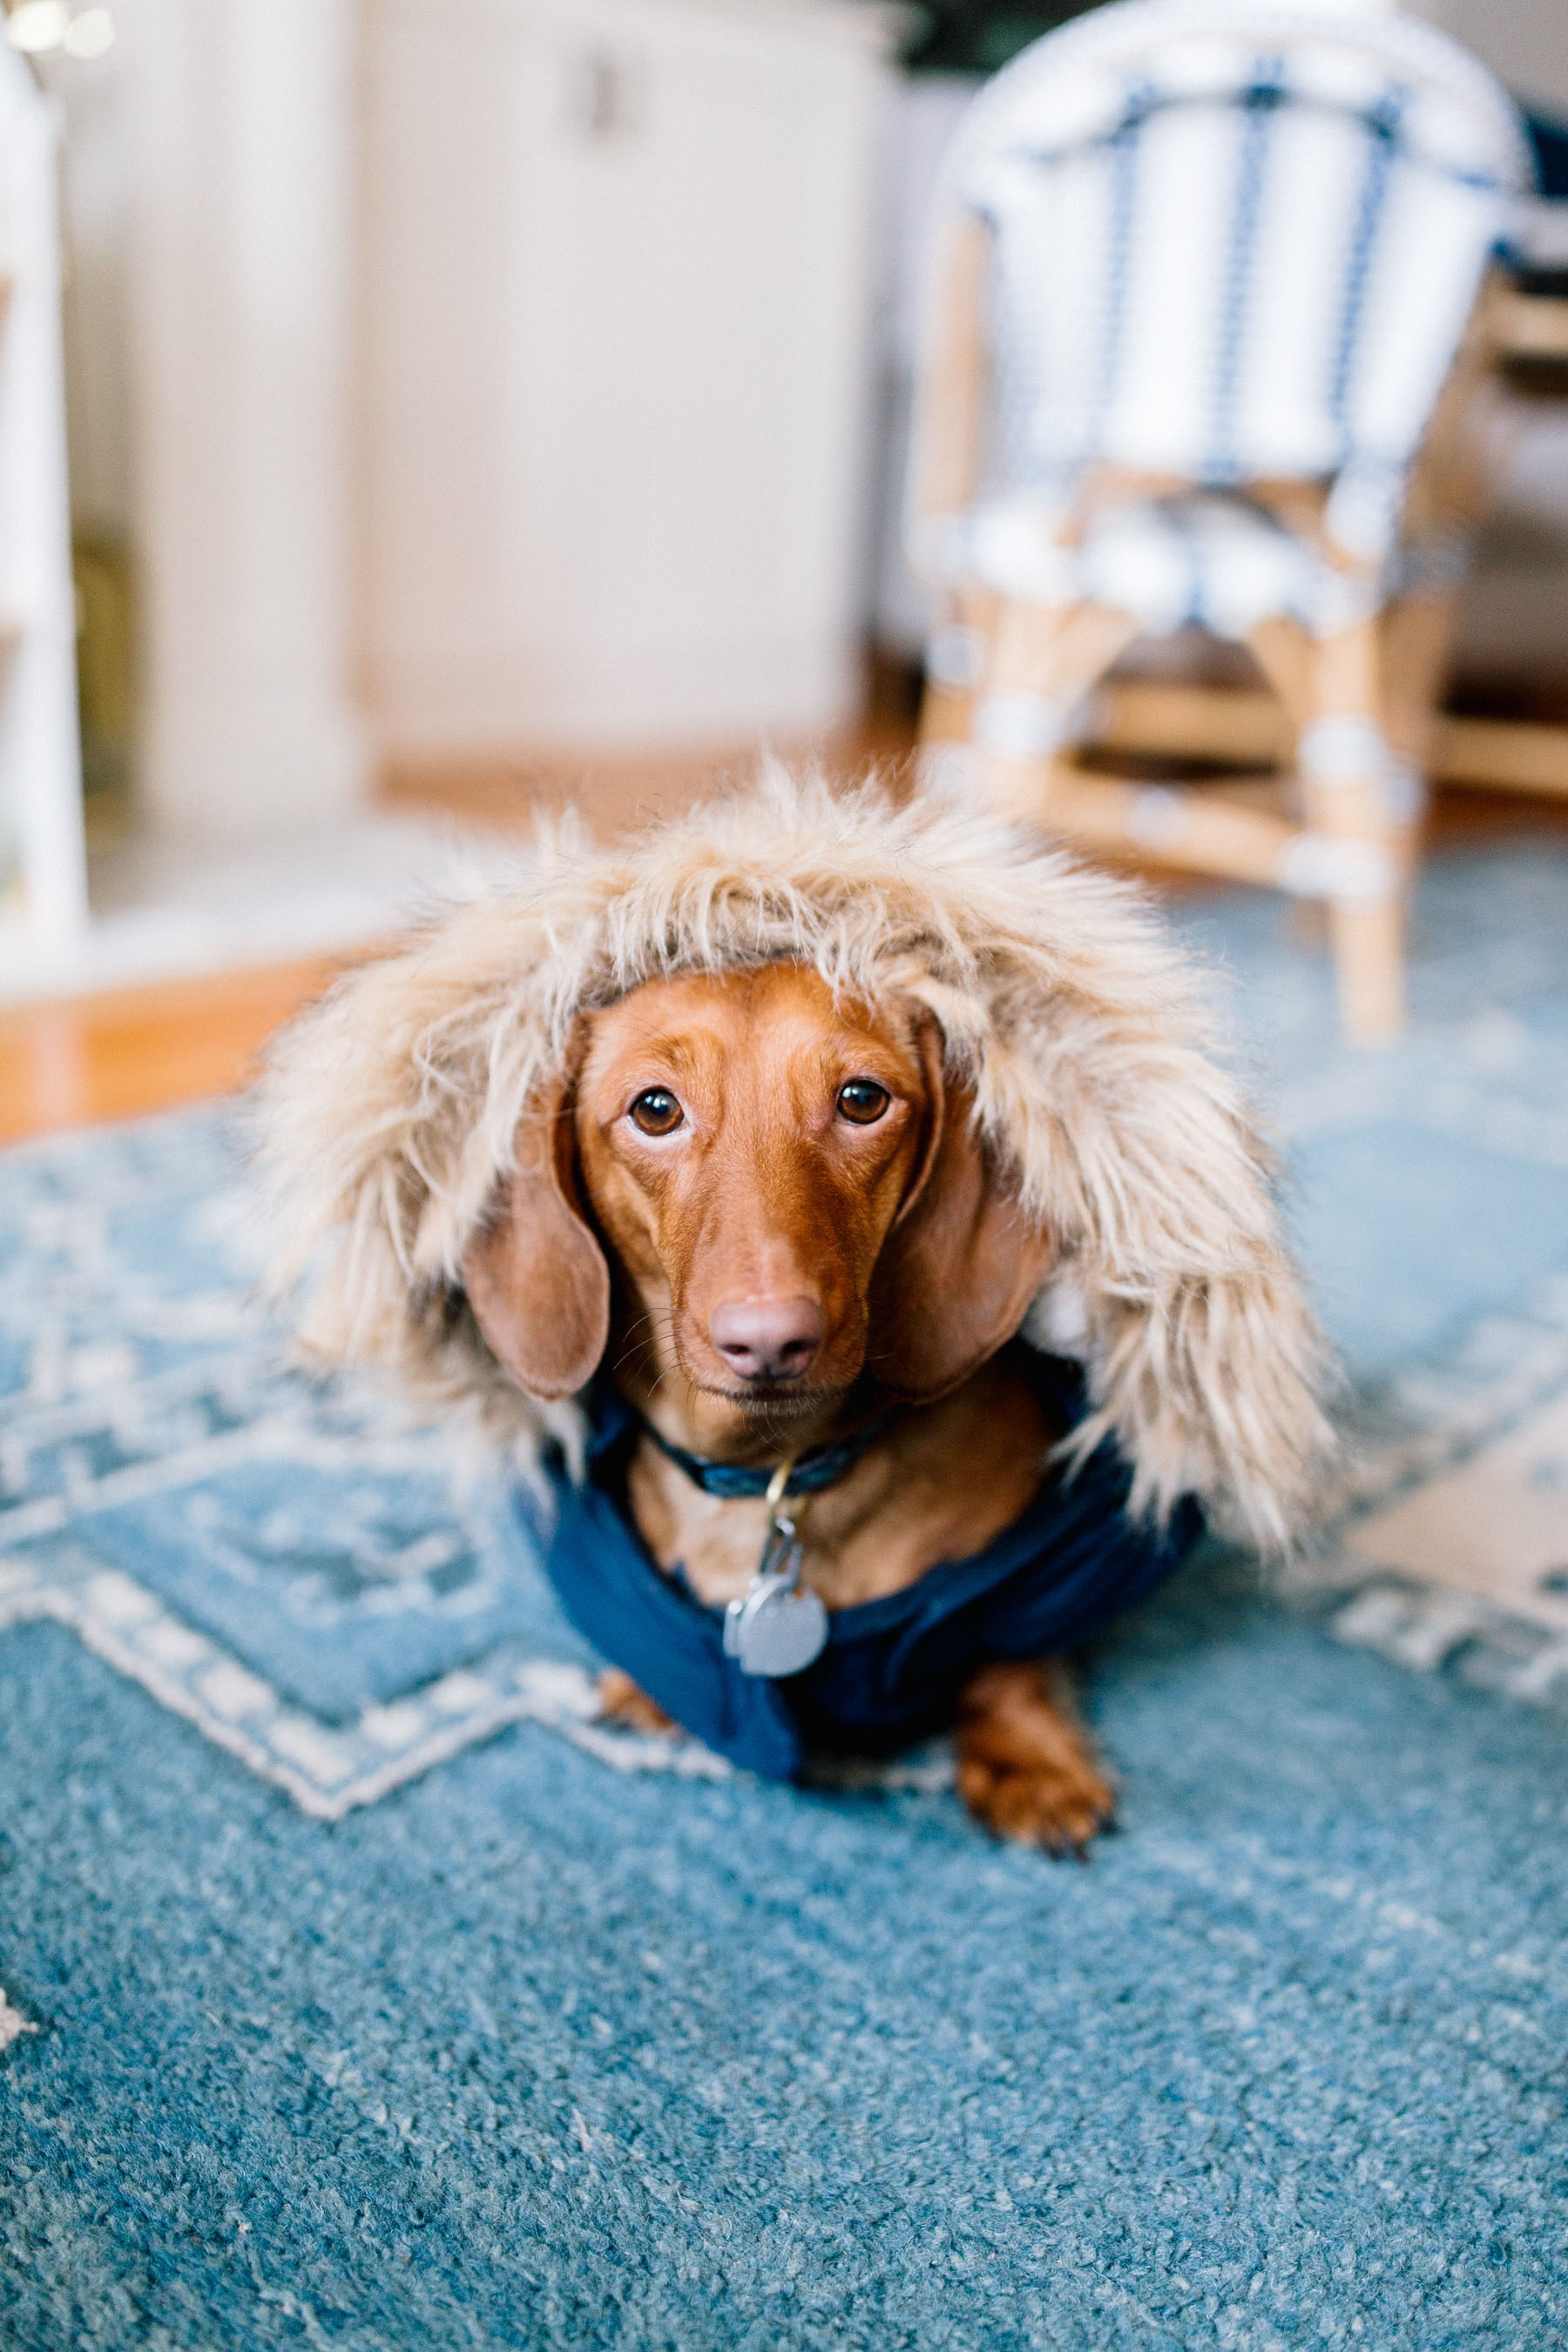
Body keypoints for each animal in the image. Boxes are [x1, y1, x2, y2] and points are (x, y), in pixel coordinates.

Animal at [463, 955, 1114, 1853]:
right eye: (655, 1109)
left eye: (863, 1099)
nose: (772, 1340)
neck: (771, 1471)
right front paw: (655, 1690)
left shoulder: (1046, 1563)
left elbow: (1006, 1652)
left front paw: (1027, 1757)